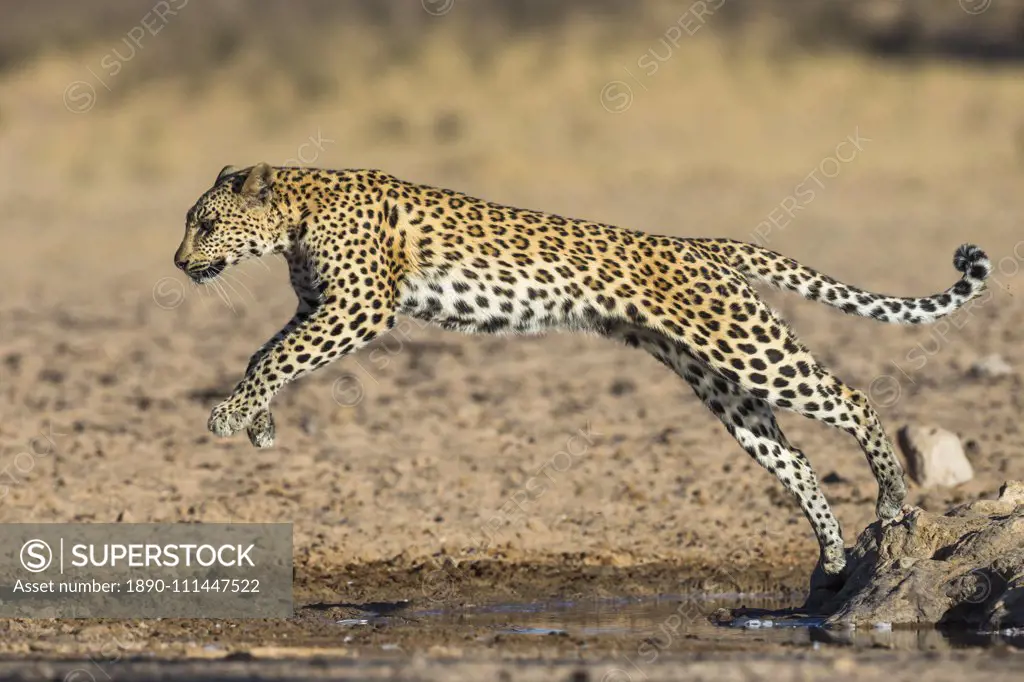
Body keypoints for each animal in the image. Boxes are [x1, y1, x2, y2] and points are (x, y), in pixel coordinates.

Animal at [174, 161, 991, 577]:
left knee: (853, 397)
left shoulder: (360, 307)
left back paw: (892, 499)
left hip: (750, 350)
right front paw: (257, 423)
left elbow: (276, 355)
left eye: (205, 223)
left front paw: (229, 416)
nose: (179, 263)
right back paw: (830, 551)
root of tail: (703, 244)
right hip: (720, 383)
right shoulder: (323, 308)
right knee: (792, 457)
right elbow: (265, 352)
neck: (293, 217)